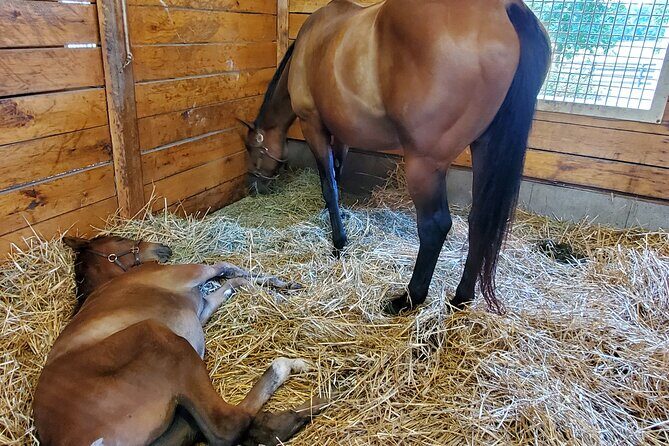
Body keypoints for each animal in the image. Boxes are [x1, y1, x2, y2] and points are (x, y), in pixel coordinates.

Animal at [33, 235, 327, 446]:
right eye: (117, 238)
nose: (163, 248)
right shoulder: (191, 274)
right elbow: (225, 268)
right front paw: (280, 287)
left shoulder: (203, 308)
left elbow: (232, 283)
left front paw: (280, 288)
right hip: (159, 336)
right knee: (227, 426)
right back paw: (291, 366)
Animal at [242, 0, 551, 314]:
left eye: (252, 151)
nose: (254, 187)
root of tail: (505, 8)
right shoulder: (342, 134)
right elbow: (336, 178)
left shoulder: (312, 125)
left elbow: (329, 185)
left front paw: (339, 243)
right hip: (484, 149)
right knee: (479, 221)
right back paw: (462, 297)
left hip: (424, 163)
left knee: (434, 226)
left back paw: (410, 298)